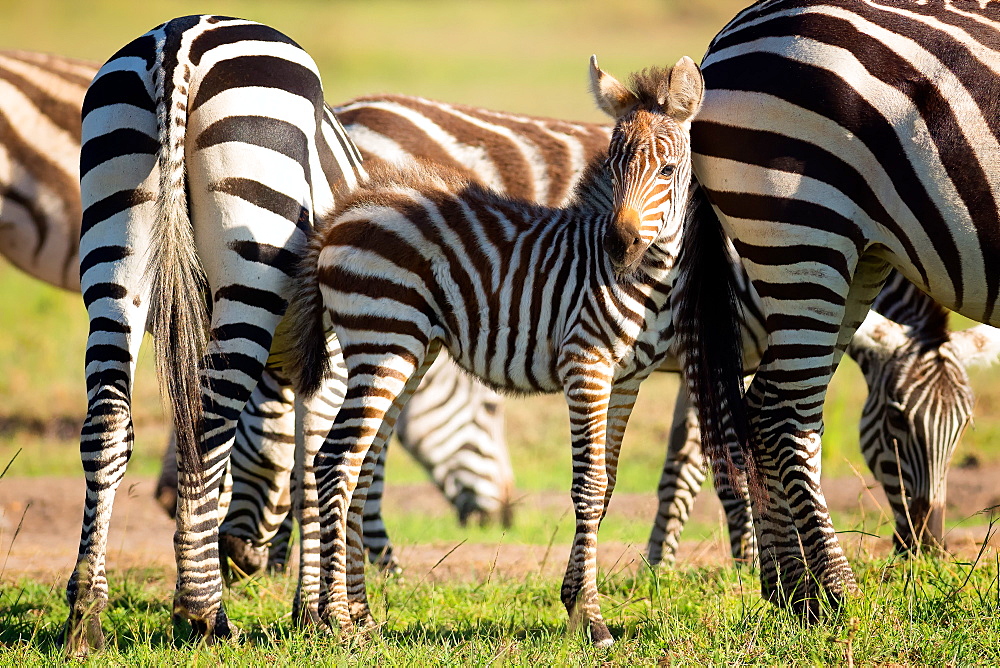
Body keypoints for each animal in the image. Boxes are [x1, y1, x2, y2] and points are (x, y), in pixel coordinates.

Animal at [282, 57, 704, 648]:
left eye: (667, 170)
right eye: (614, 168)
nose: (619, 249)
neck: (649, 282)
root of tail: (344, 213)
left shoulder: (627, 379)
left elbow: (609, 485)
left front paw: (576, 605)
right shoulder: (586, 364)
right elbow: (589, 484)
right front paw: (593, 620)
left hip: (408, 352)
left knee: (361, 467)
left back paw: (363, 615)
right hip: (380, 342)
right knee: (335, 461)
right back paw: (339, 622)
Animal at [684, 0, 1000, 620]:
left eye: (964, 426)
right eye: (897, 420)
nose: (929, 549)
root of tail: (726, 33)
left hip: (857, 257)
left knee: (765, 408)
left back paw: (789, 590)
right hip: (803, 229)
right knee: (783, 416)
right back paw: (834, 591)